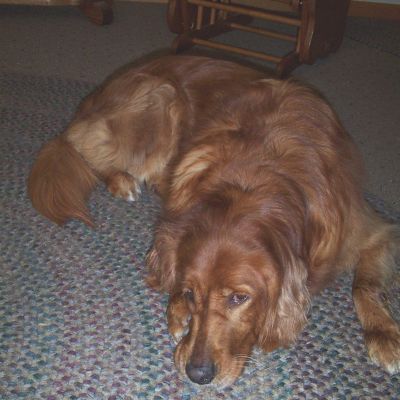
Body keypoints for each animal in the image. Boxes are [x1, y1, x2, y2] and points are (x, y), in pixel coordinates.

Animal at [28, 55, 400, 386]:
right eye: (190, 292)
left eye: (238, 298)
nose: (198, 375)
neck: (255, 182)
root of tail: (98, 94)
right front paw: (176, 312)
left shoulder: (372, 231)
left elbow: (364, 285)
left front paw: (383, 334)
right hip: (161, 99)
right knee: (81, 147)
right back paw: (120, 179)